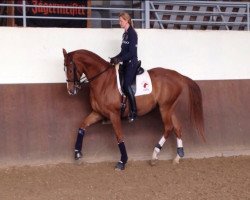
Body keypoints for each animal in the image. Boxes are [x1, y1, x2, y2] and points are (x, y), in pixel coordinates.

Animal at [62, 48, 205, 170]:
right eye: (64, 68)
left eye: (70, 69)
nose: (70, 90)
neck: (102, 80)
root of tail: (179, 76)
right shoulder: (97, 113)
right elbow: (82, 126)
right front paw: (77, 153)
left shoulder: (114, 114)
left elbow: (119, 137)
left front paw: (122, 161)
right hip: (169, 108)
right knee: (177, 127)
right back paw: (177, 157)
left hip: (165, 108)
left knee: (169, 127)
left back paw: (154, 155)